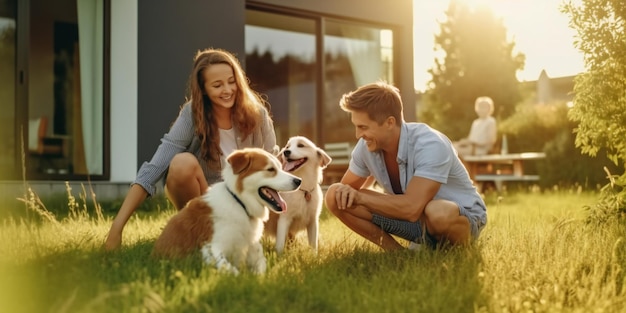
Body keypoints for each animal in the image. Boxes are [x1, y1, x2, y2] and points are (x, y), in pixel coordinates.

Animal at [150, 147, 298, 272]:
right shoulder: (211, 249)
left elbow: (261, 268)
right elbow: (233, 271)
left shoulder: (254, 248)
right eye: (270, 169)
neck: (240, 203)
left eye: (280, 167)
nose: (298, 181)